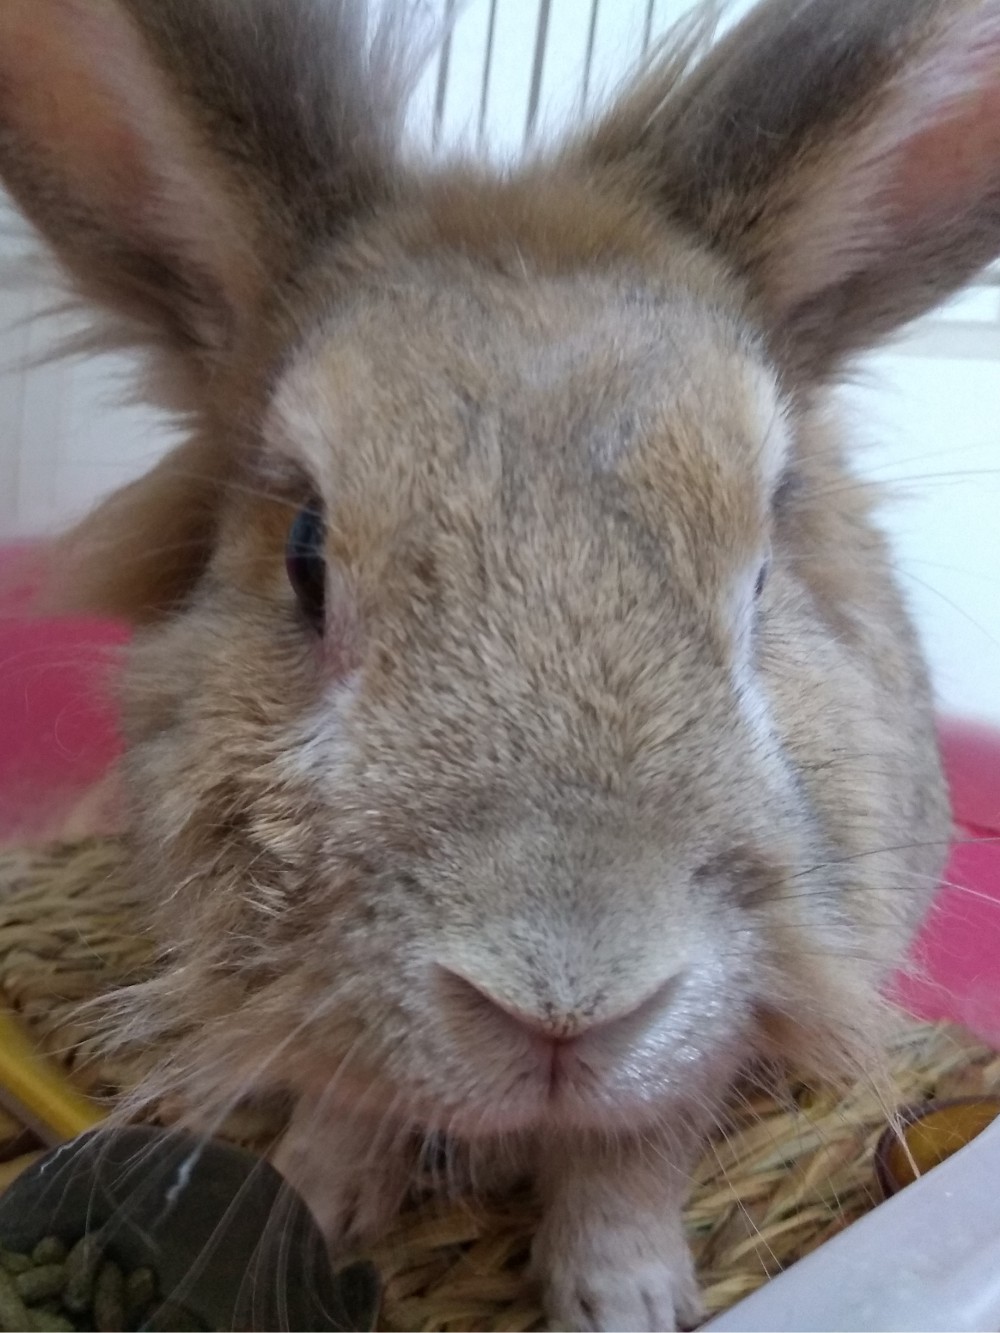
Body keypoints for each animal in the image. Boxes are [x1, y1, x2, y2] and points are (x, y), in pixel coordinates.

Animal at [2, 0, 997, 1326]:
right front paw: (314, 1199)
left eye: (761, 571)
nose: (563, 1005)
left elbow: (634, 1151)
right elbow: (348, 1100)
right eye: (305, 553)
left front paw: (623, 1298)